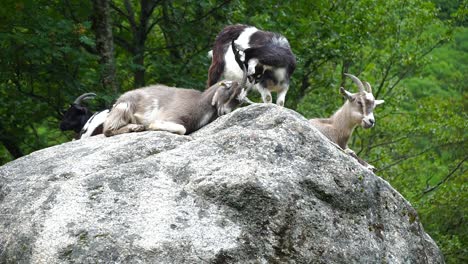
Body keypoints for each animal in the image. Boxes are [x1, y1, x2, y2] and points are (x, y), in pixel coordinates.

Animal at [103, 42, 249, 137]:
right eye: (229, 90)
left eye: (240, 101)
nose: (225, 112)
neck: (200, 101)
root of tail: (118, 101)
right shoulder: (172, 116)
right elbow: (181, 129)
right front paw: (150, 126)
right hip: (124, 107)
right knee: (107, 130)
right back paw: (136, 127)